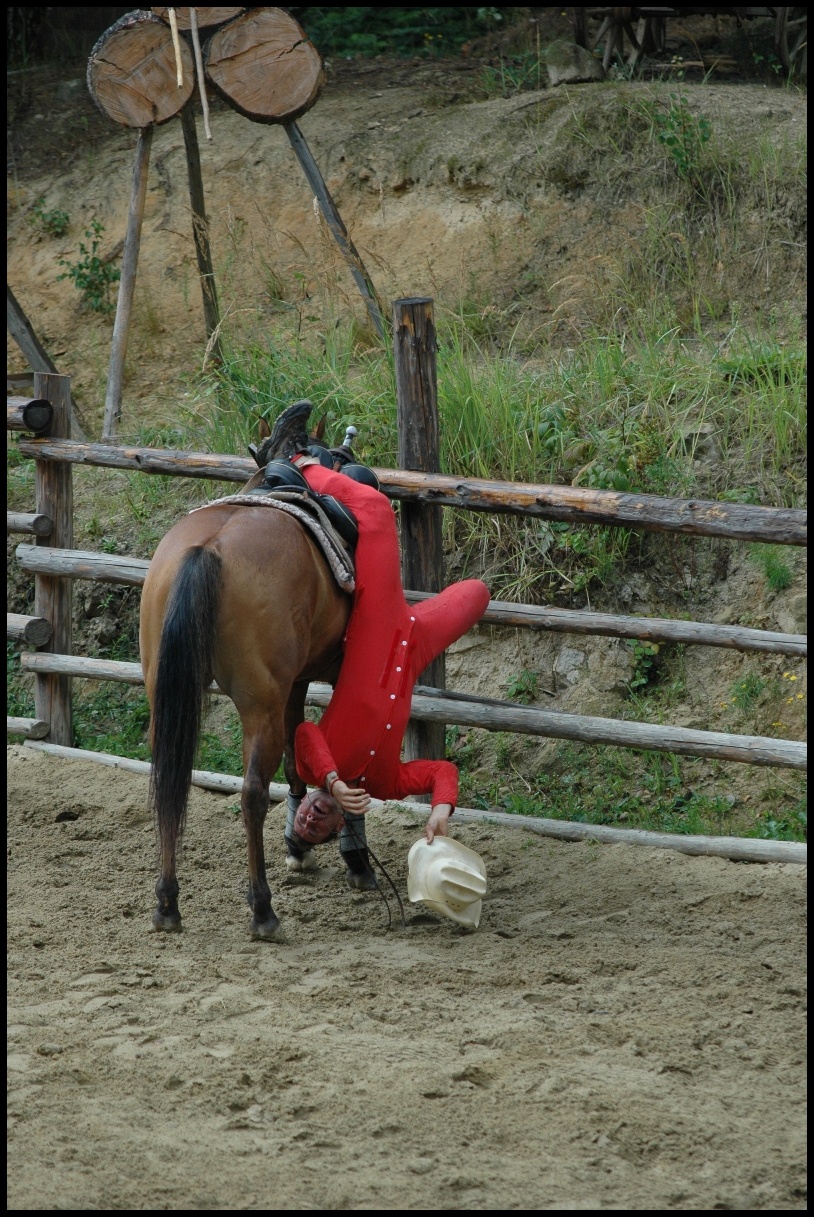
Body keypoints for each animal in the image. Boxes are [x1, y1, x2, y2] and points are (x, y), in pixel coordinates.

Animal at [139, 477, 350, 939]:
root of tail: (208, 548)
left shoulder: (296, 683)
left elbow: (297, 755)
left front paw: (299, 844)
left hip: (165, 696)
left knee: (168, 779)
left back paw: (167, 903)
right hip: (260, 707)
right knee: (253, 793)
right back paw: (263, 911)